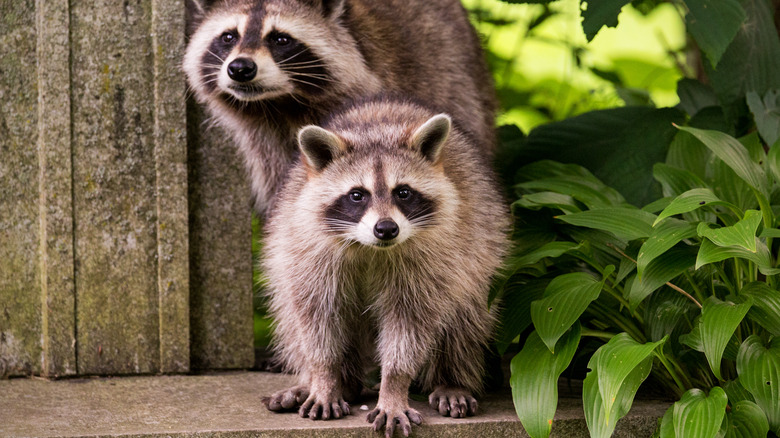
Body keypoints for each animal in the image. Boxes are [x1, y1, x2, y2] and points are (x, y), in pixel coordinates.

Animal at [258, 97, 508, 436]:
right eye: (357, 195)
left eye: (402, 192)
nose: (386, 229)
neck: (369, 247)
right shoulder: (309, 250)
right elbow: (316, 318)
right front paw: (323, 378)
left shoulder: (432, 260)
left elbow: (410, 325)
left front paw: (393, 387)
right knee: (290, 316)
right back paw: (331, 384)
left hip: (480, 253)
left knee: (466, 318)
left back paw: (452, 379)